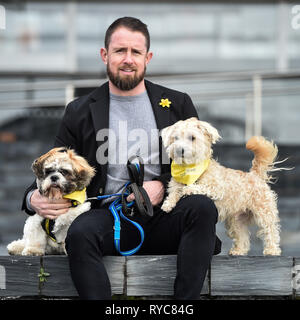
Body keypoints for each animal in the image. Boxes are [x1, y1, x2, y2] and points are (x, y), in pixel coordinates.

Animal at [162, 116, 282, 256]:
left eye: (192, 137)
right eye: (175, 138)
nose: (178, 150)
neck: (190, 170)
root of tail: (255, 174)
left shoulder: (217, 188)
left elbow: (199, 187)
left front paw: (188, 189)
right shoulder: (175, 185)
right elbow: (174, 192)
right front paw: (168, 203)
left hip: (264, 212)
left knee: (271, 230)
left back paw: (272, 250)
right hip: (236, 221)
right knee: (242, 236)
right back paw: (238, 251)